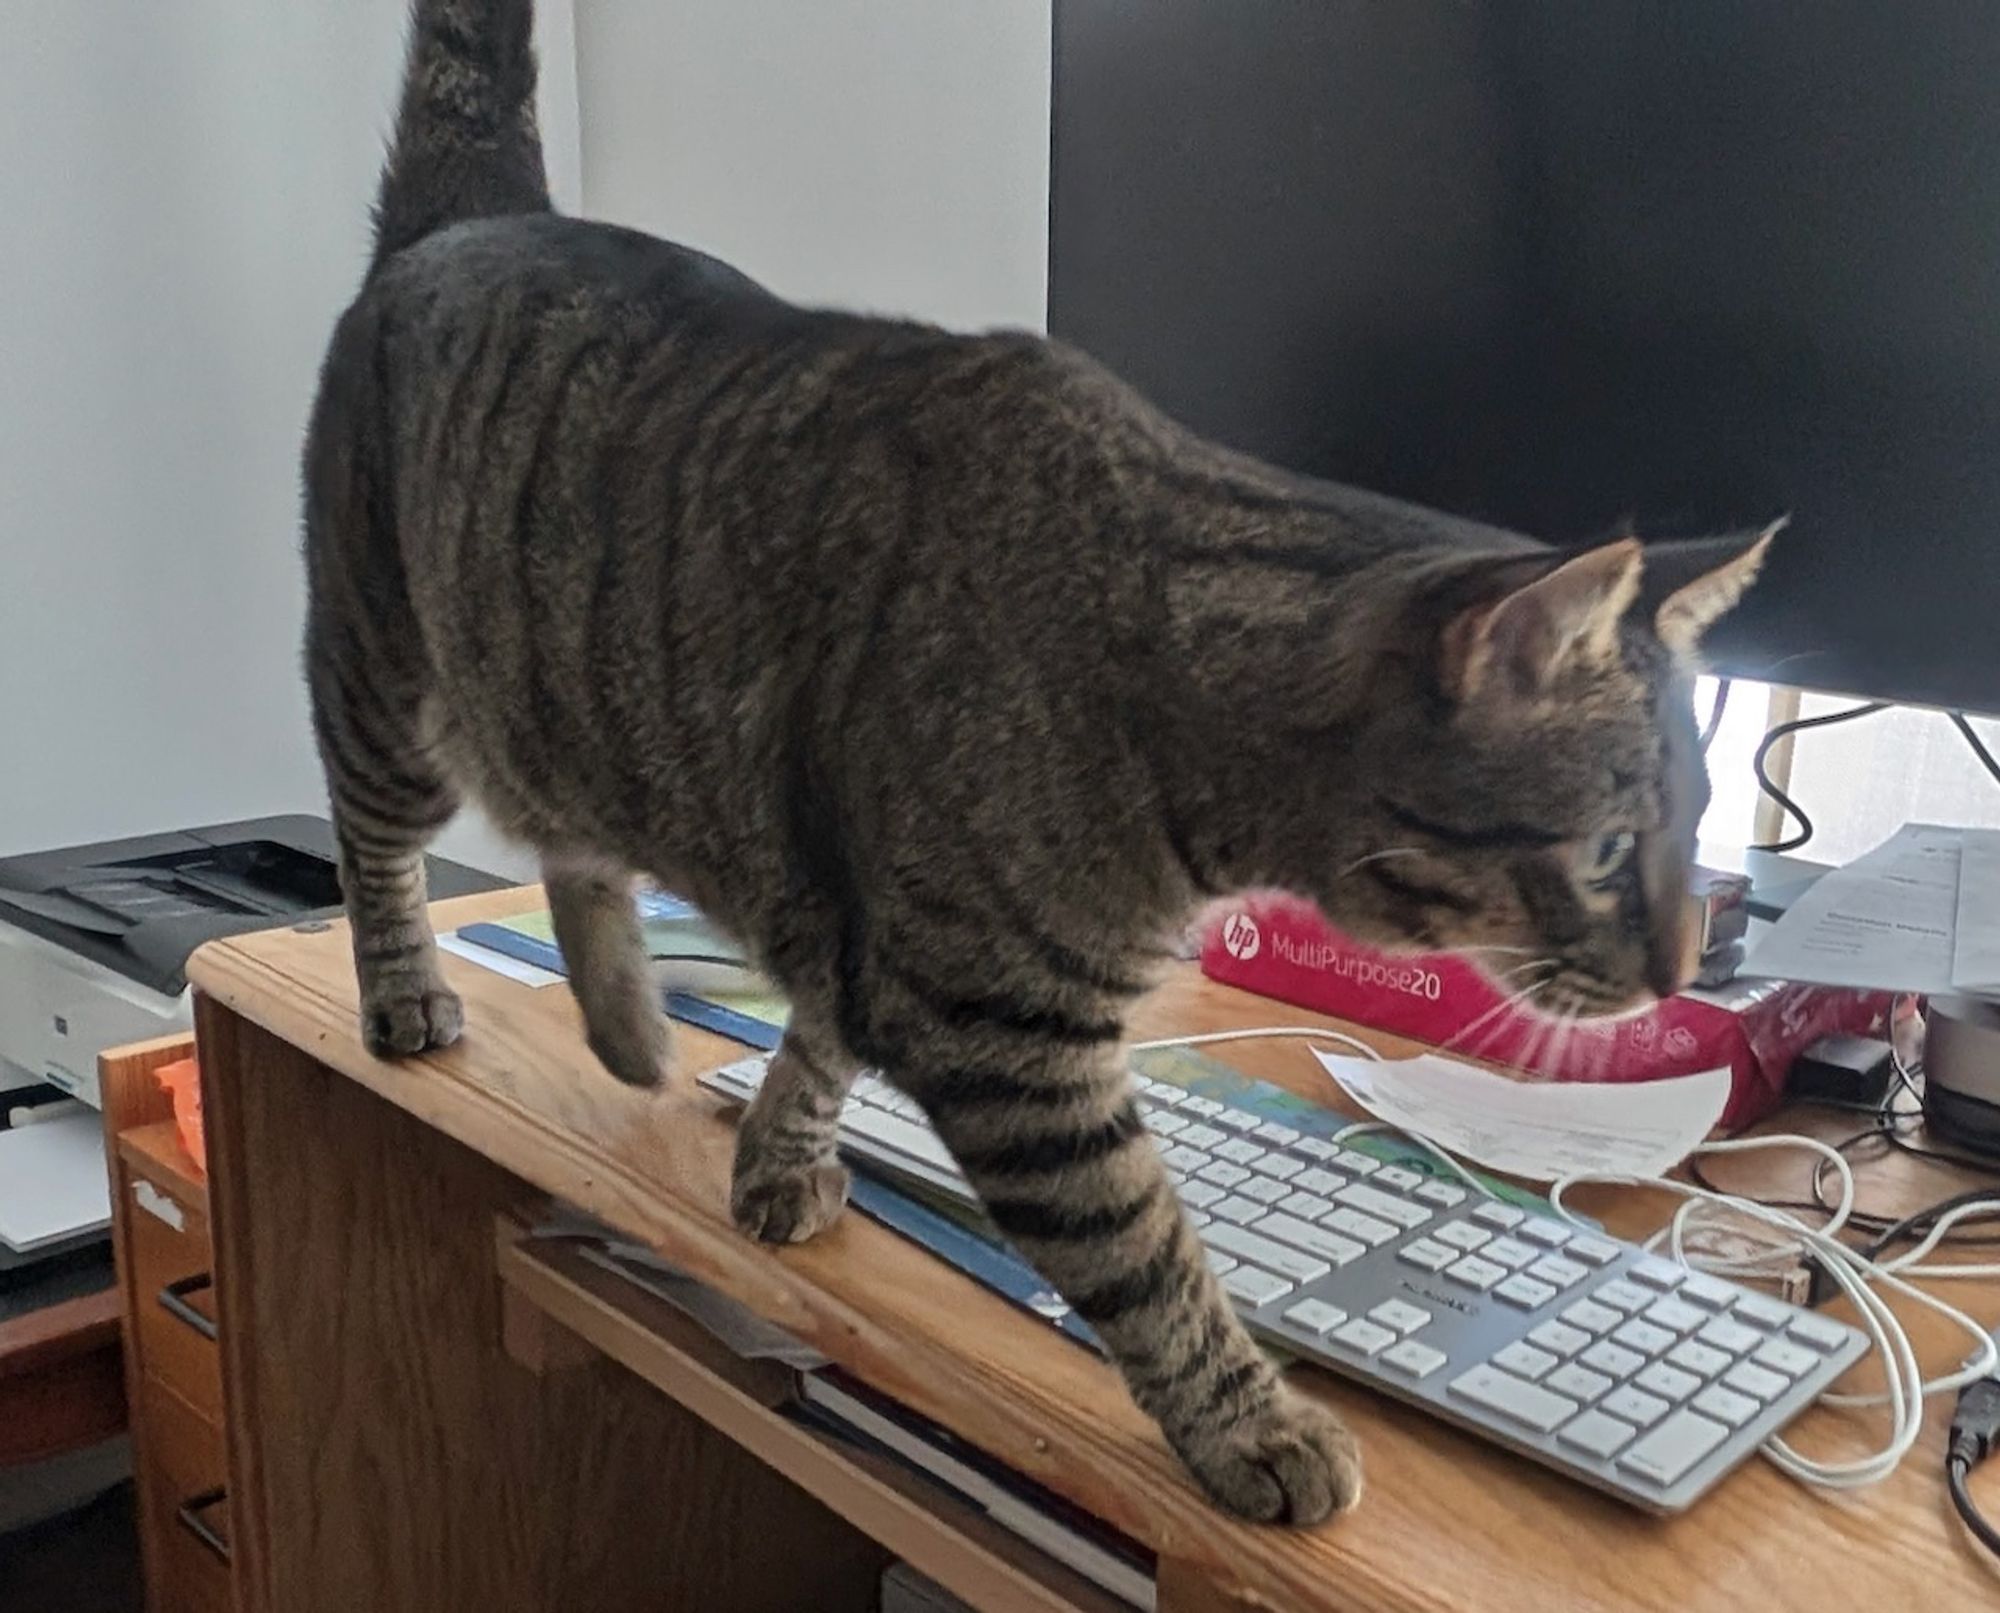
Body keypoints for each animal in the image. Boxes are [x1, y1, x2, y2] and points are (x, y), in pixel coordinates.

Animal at [304, 0, 1776, 1528]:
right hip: (388, 686)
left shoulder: (870, 933)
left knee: (573, 837)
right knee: (373, 842)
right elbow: (1148, 1250)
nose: (1679, 967)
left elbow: (816, 1049)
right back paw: (408, 995)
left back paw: (628, 1023)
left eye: (1697, 825)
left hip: (567, 703)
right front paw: (1252, 1424)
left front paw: (779, 1151)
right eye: (1607, 850)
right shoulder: (1000, 1031)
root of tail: (477, 216)